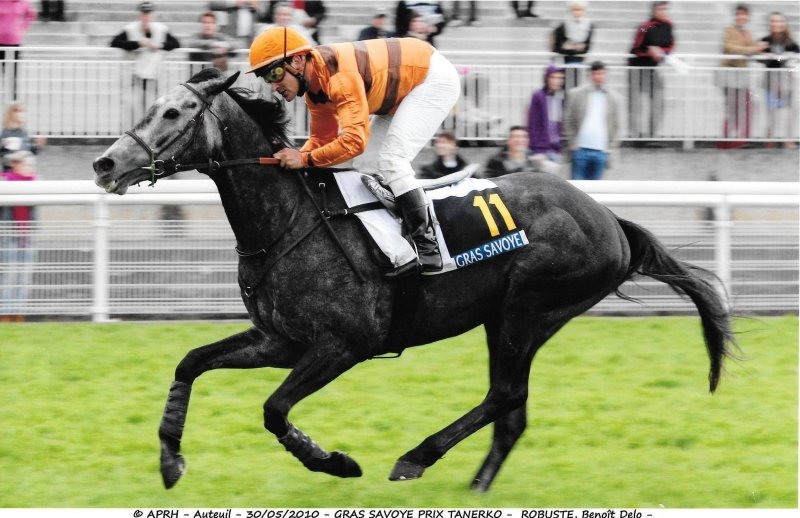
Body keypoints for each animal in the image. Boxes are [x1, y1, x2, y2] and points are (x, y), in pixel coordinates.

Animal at [92, 68, 735, 492]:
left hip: (528, 309)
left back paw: (416, 458)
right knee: (513, 408)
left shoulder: (342, 345)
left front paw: (336, 462)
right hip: (510, 318)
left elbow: (274, 409)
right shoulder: (279, 340)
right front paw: (170, 460)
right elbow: (190, 362)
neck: (288, 219)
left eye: (173, 113)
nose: (105, 163)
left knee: (506, 395)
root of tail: (608, 218)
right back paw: (476, 484)